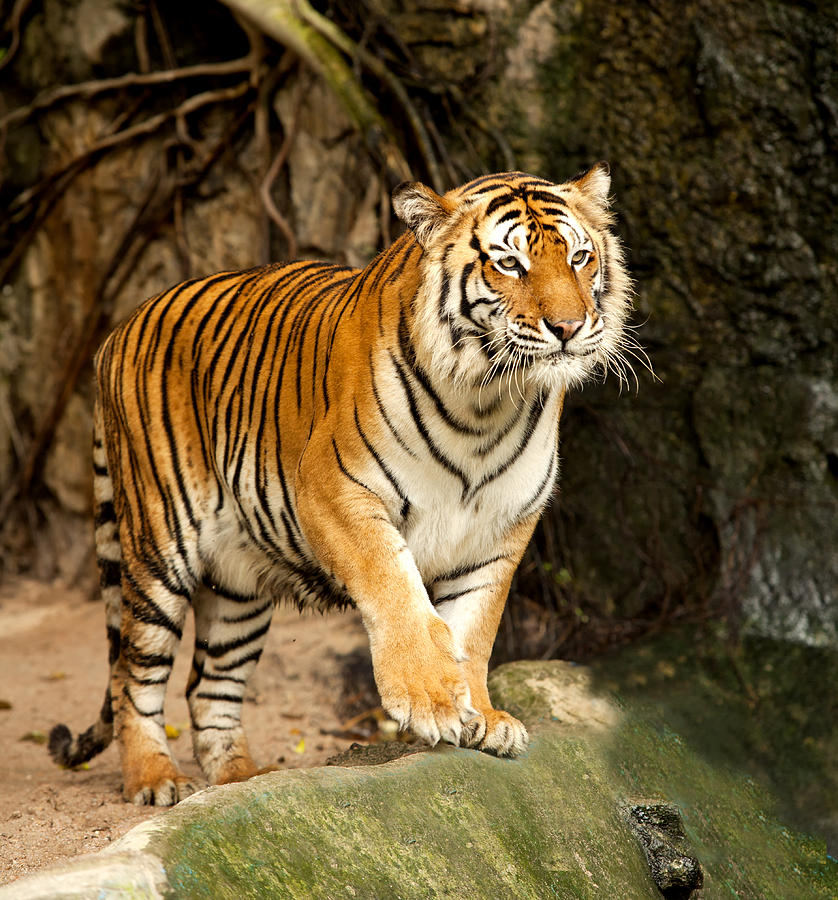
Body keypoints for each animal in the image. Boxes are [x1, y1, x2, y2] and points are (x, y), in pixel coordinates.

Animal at [49, 165, 632, 804]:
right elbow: (396, 588)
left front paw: (482, 717)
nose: (569, 328)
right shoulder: (336, 492)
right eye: (509, 264)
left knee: (209, 687)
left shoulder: (500, 530)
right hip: (159, 551)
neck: (488, 404)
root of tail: (117, 329)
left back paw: (241, 780)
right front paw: (431, 702)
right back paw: (156, 779)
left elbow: (474, 629)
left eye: (579, 258)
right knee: (133, 674)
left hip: (237, 585)